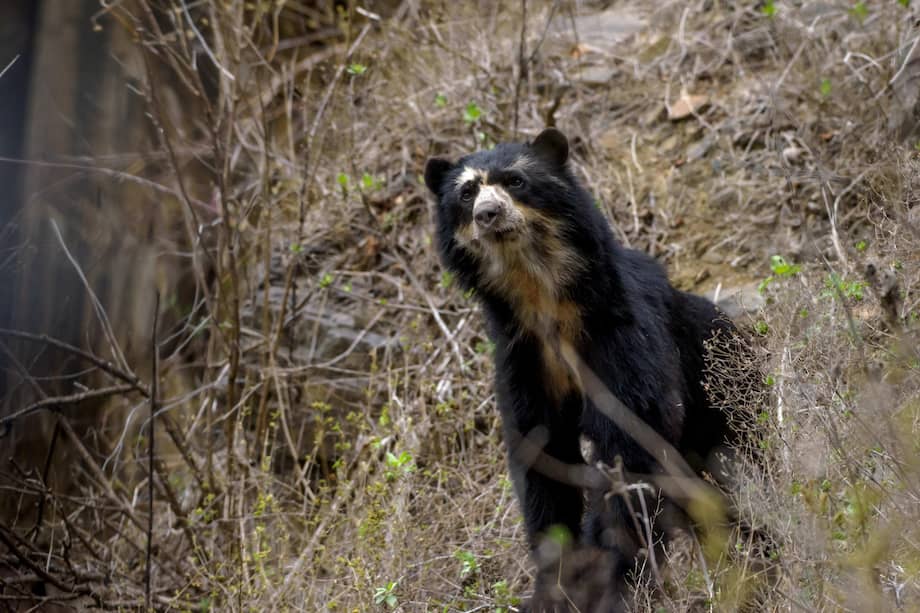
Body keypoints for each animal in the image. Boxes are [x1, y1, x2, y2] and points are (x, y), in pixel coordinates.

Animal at [425, 128, 750, 611]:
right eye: (466, 193)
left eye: (515, 181)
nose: (487, 214)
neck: (541, 295)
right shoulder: (523, 361)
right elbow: (541, 459)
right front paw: (554, 584)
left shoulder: (620, 337)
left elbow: (630, 441)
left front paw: (609, 579)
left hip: (724, 397)